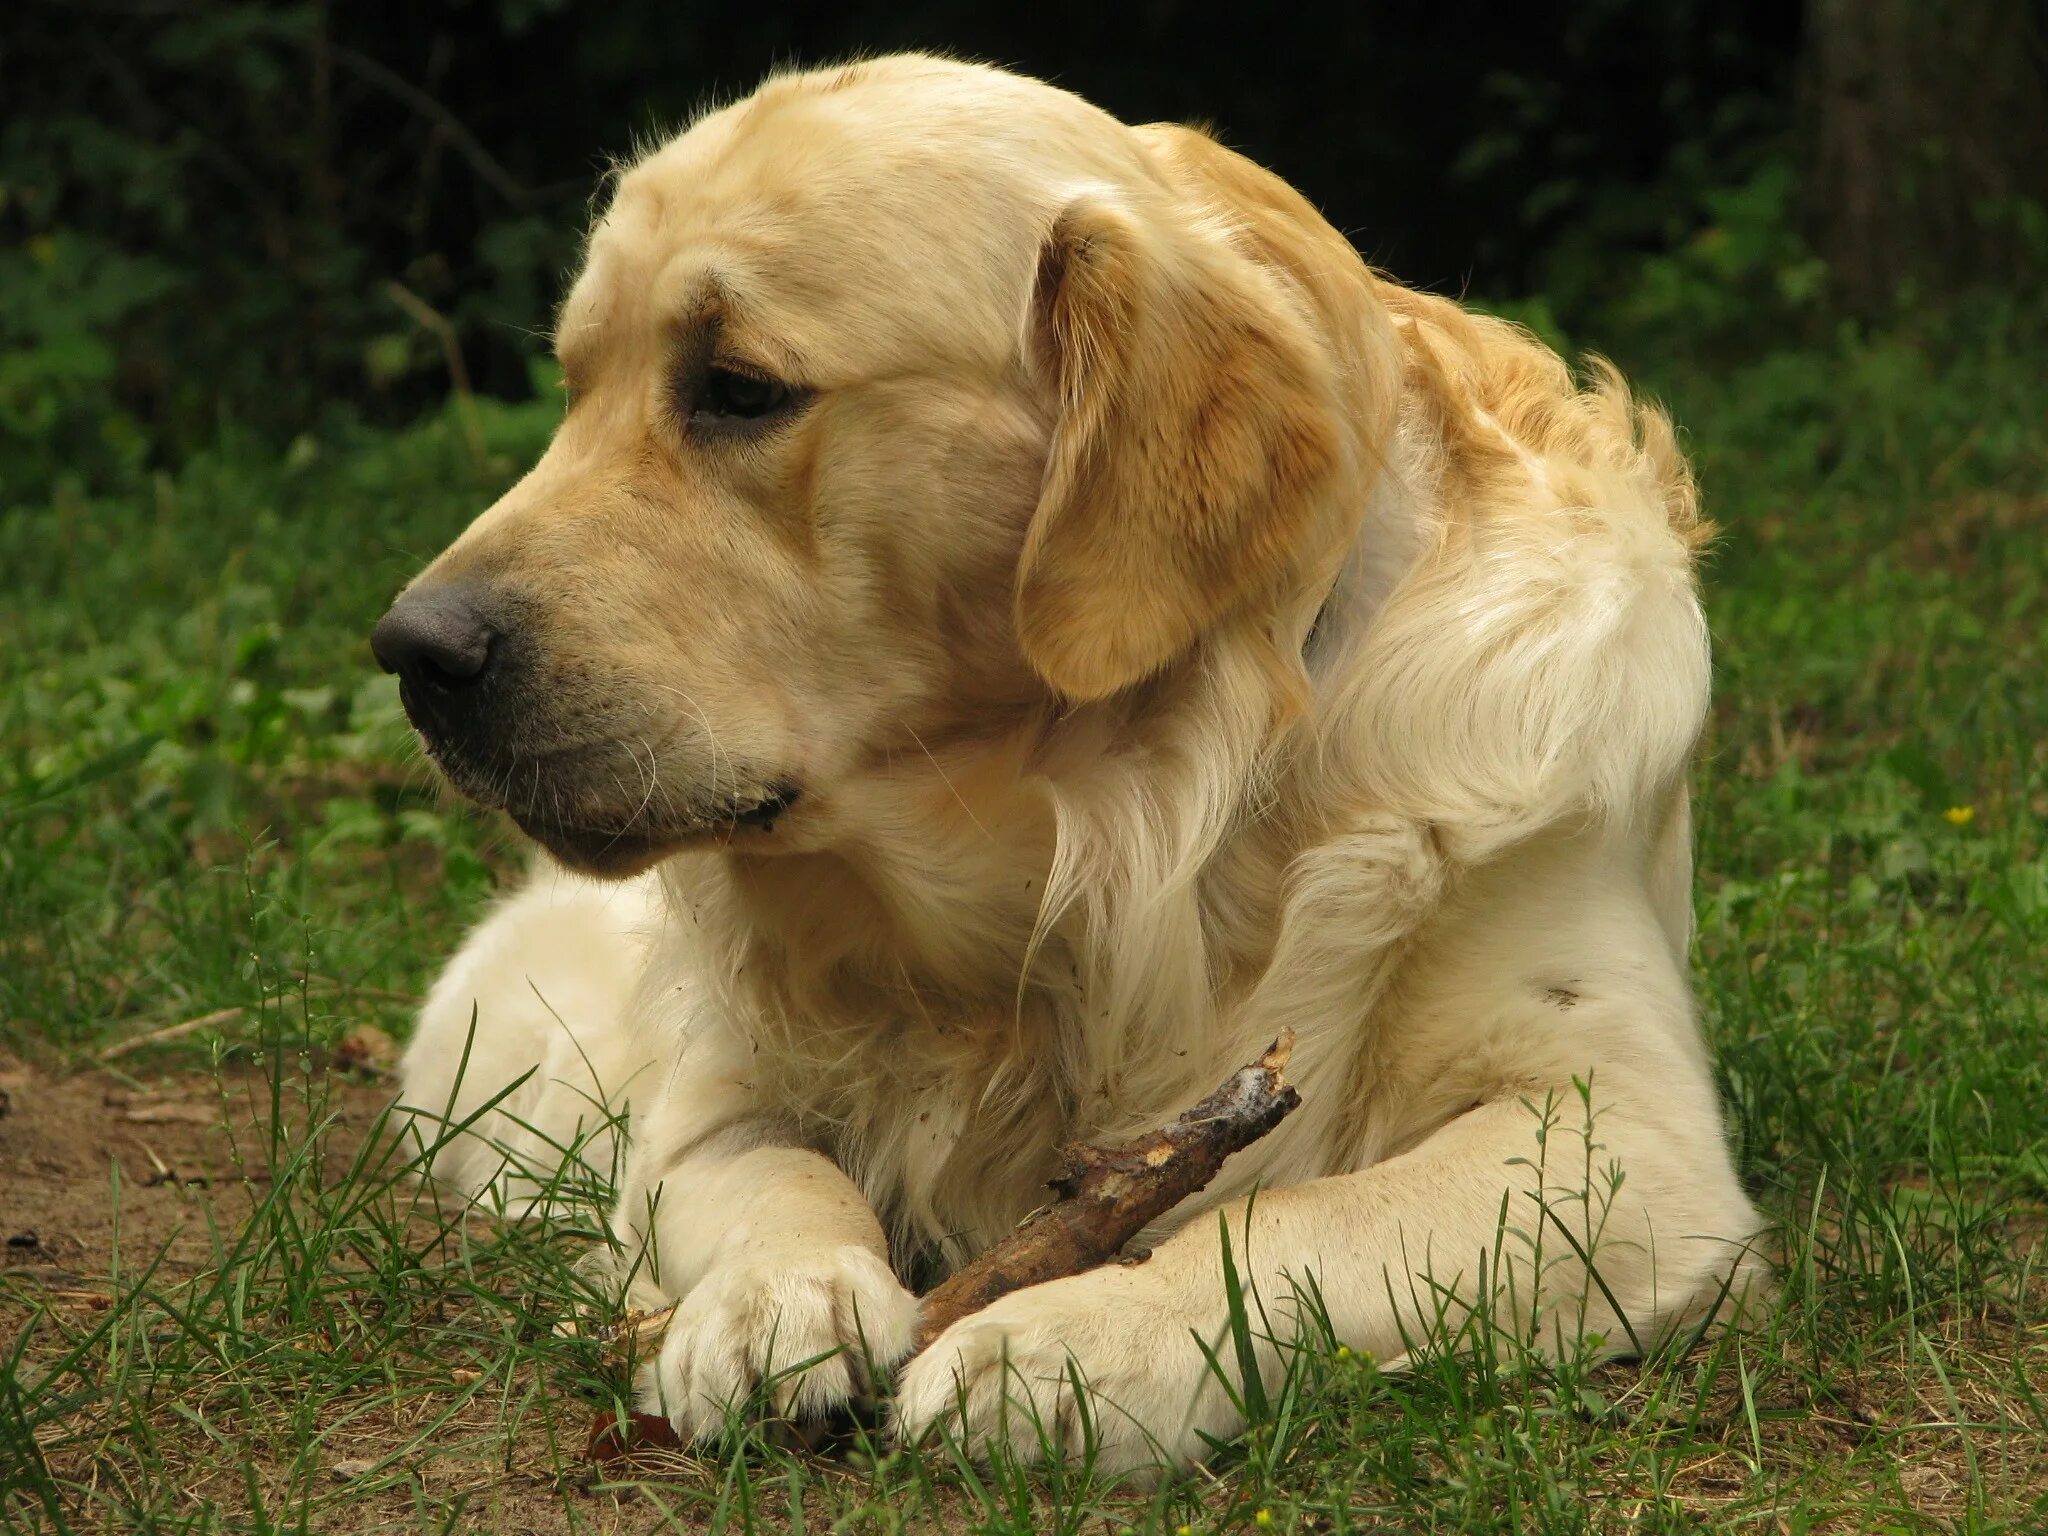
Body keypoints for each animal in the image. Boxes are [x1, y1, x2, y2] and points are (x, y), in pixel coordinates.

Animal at [380, 54, 1761, 1482]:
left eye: (738, 387)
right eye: (572, 387)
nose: (411, 652)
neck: (1111, 830)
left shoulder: (1615, 1136)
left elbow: (1278, 1224)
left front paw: (1069, 1350)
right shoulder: (710, 1094)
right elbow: (770, 1175)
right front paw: (770, 1304)